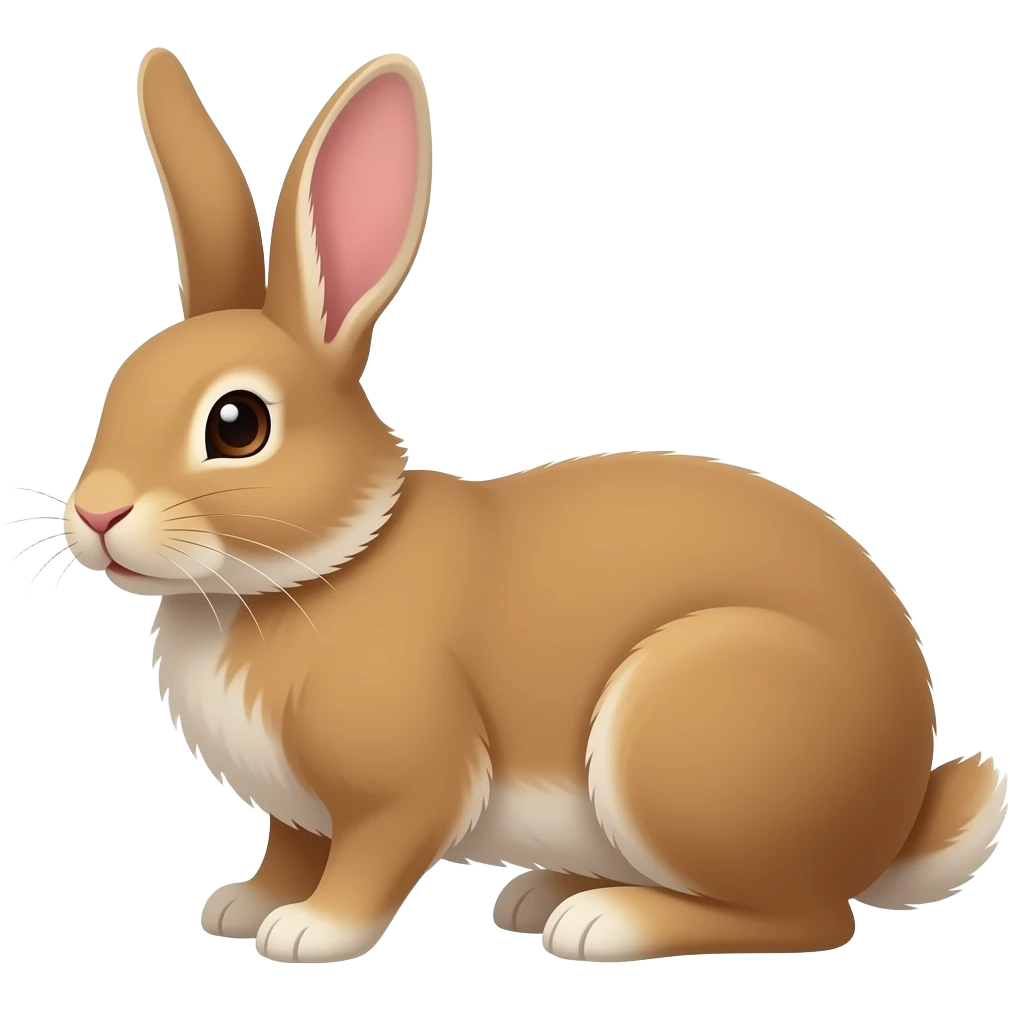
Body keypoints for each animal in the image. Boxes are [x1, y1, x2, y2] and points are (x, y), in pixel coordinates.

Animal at [62, 47, 1007, 964]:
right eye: (117, 386)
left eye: (238, 424)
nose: (97, 515)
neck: (317, 567)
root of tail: (894, 815)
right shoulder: (295, 811)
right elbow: (290, 848)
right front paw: (241, 906)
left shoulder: (406, 781)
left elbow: (372, 856)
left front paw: (306, 933)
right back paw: (540, 895)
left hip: (688, 733)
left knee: (808, 918)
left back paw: (602, 922)